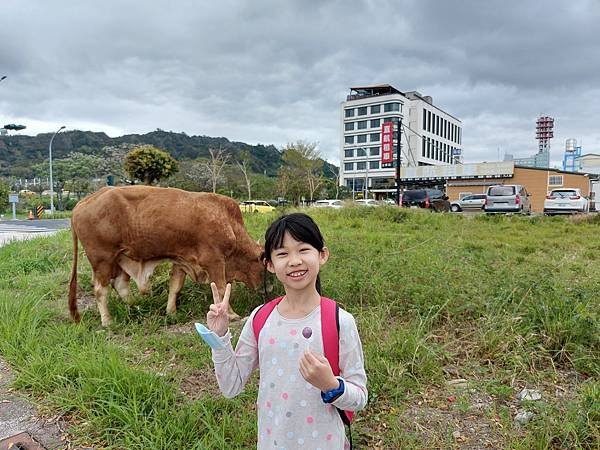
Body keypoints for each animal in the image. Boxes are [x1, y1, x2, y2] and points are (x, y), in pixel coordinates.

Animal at [69, 185, 264, 326]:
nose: (262, 288)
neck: (229, 222)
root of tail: (82, 203)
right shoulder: (214, 260)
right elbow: (222, 290)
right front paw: (232, 315)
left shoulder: (181, 260)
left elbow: (175, 286)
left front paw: (171, 312)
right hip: (103, 259)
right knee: (100, 290)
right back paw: (108, 321)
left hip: (119, 258)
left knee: (120, 284)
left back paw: (136, 307)